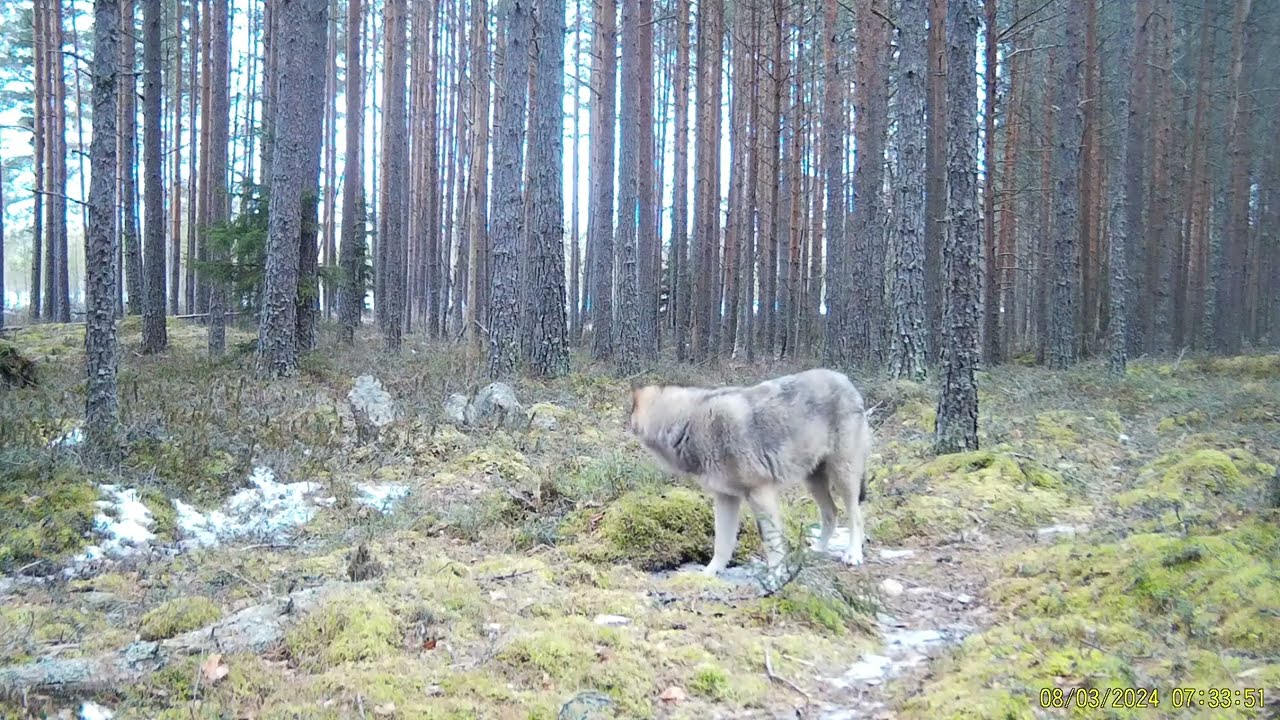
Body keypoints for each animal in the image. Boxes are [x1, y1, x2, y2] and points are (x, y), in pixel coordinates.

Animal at [626, 368, 874, 578]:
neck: (687, 424)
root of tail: (846, 379)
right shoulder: (725, 498)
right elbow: (722, 544)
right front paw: (709, 574)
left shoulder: (760, 493)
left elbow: (771, 542)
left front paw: (775, 575)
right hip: (813, 481)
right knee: (831, 513)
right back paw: (818, 549)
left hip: (844, 476)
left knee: (856, 516)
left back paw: (853, 554)